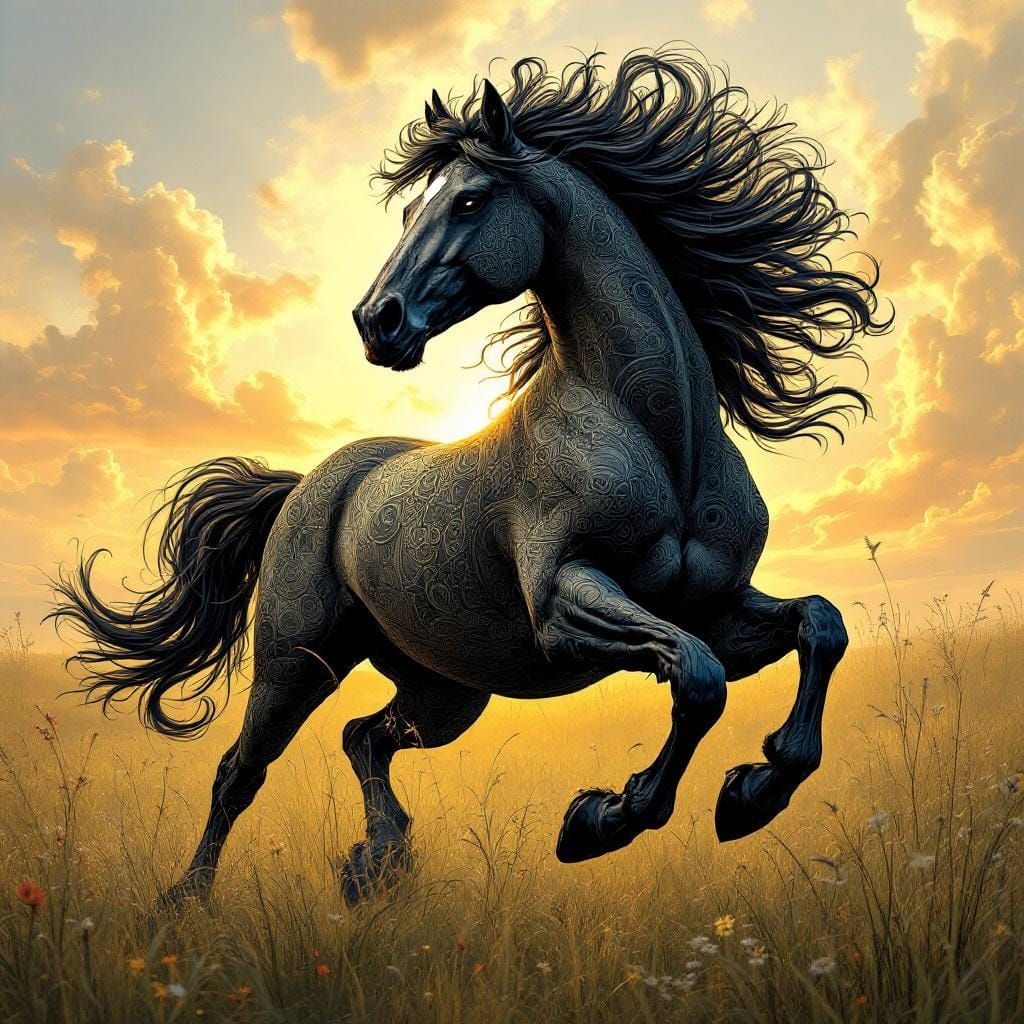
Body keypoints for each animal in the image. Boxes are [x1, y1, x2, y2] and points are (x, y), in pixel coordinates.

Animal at [50, 51, 889, 906]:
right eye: (412, 210)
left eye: (470, 198)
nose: (377, 321)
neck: (661, 439)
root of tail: (307, 486)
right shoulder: (565, 606)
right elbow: (698, 678)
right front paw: (601, 820)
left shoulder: (716, 607)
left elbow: (817, 627)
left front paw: (752, 791)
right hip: (296, 662)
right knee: (239, 772)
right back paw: (186, 902)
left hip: (446, 688)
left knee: (364, 737)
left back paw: (376, 865)